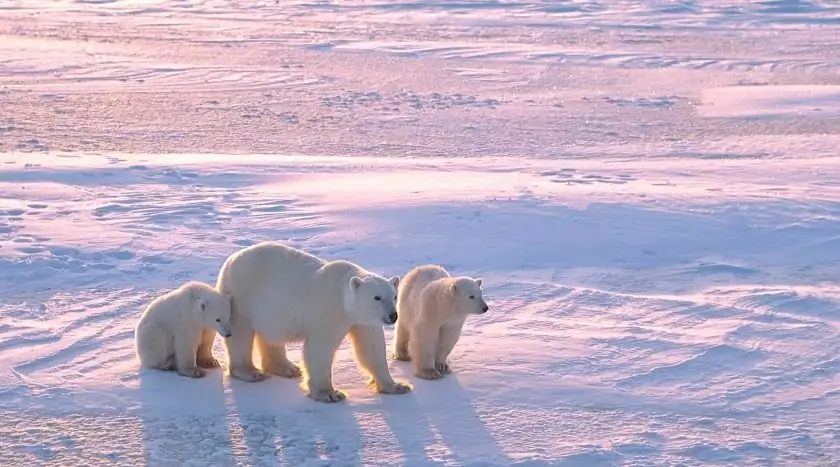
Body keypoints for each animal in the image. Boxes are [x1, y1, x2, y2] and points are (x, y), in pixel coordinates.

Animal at [215, 241, 413, 403]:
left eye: (394, 296)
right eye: (377, 297)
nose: (393, 316)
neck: (343, 298)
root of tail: (230, 259)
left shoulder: (363, 321)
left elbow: (371, 349)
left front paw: (398, 386)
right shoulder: (328, 313)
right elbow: (320, 349)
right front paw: (330, 394)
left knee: (272, 336)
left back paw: (287, 368)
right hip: (242, 295)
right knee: (240, 333)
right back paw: (250, 372)